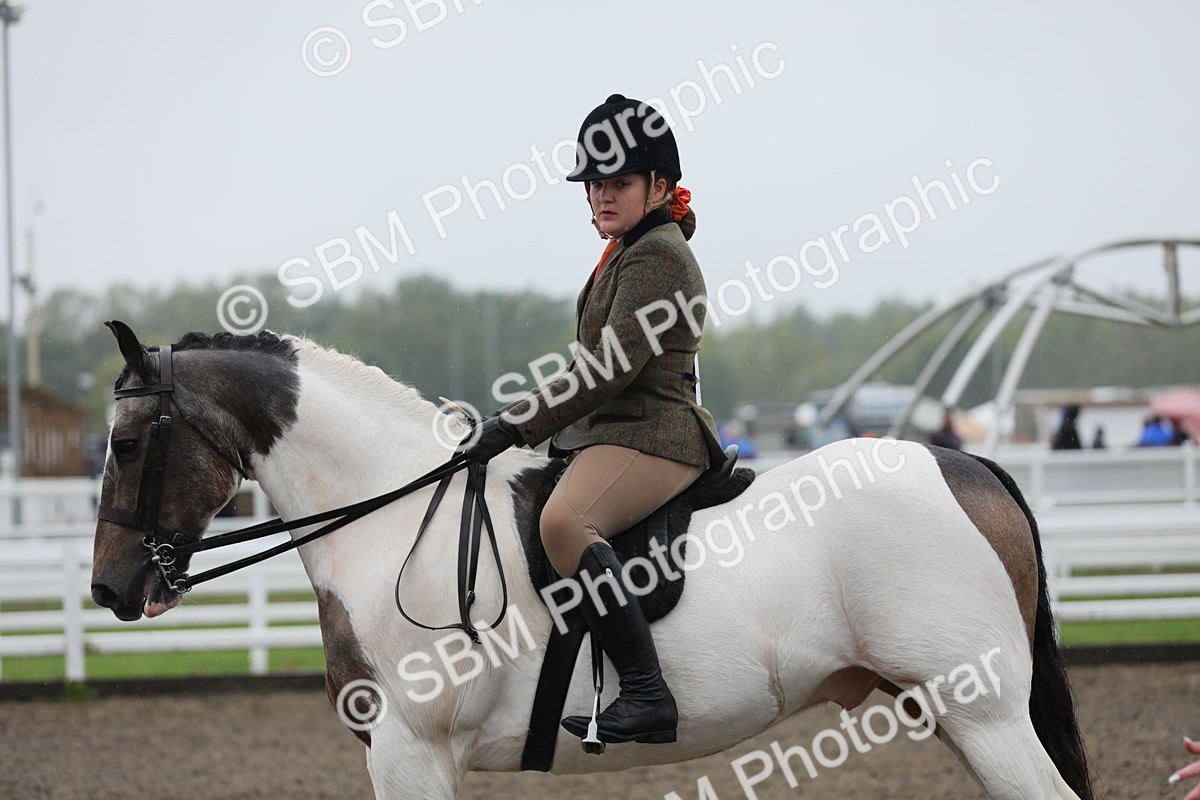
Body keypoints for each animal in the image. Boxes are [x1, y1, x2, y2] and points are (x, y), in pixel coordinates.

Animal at [90, 321, 1095, 800]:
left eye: (128, 444)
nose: (109, 588)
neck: (390, 516)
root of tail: (961, 462)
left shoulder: (408, 753)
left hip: (982, 711)